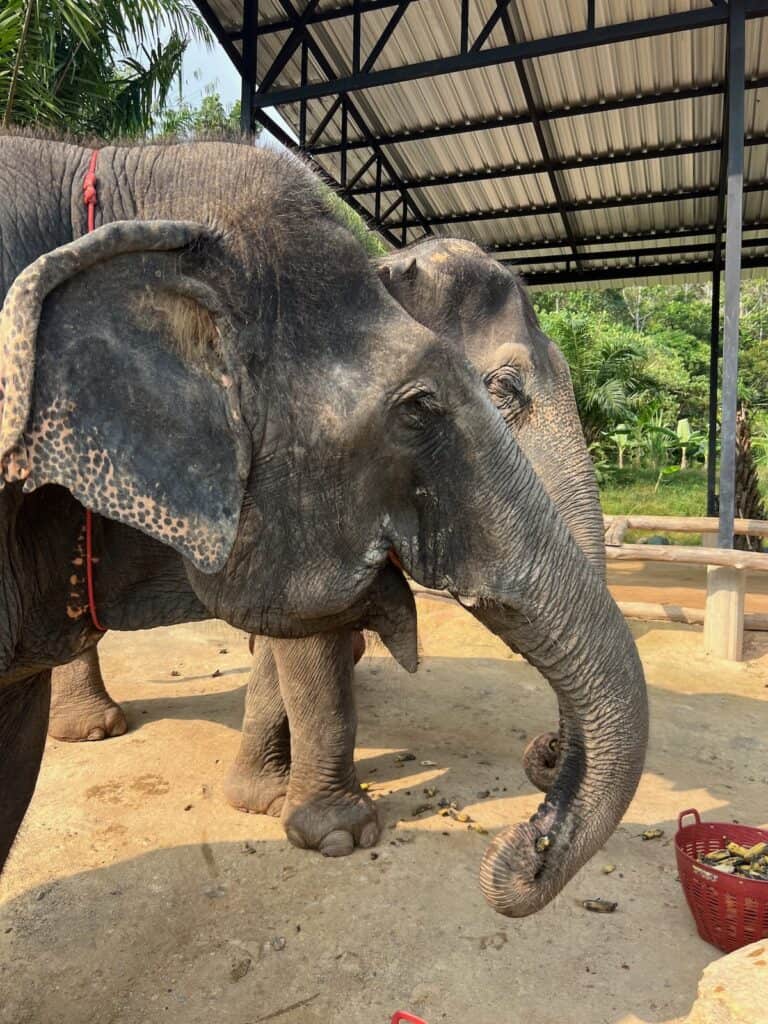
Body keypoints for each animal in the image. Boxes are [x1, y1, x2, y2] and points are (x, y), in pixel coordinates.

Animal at [41, 234, 642, 916]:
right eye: (504, 388)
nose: (546, 754)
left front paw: (261, 795)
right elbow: (314, 642)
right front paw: (341, 836)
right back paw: (94, 732)